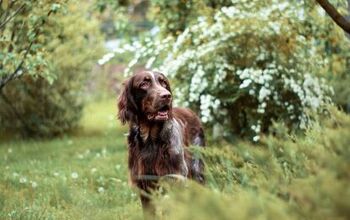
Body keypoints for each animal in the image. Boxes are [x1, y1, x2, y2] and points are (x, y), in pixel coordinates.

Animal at [117, 70, 205, 213]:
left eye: (163, 82)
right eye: (144, 83)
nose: (167, 96)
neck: (150, 140)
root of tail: (190, 111)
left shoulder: (175, 179)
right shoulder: (145, 186)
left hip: (197, 169)